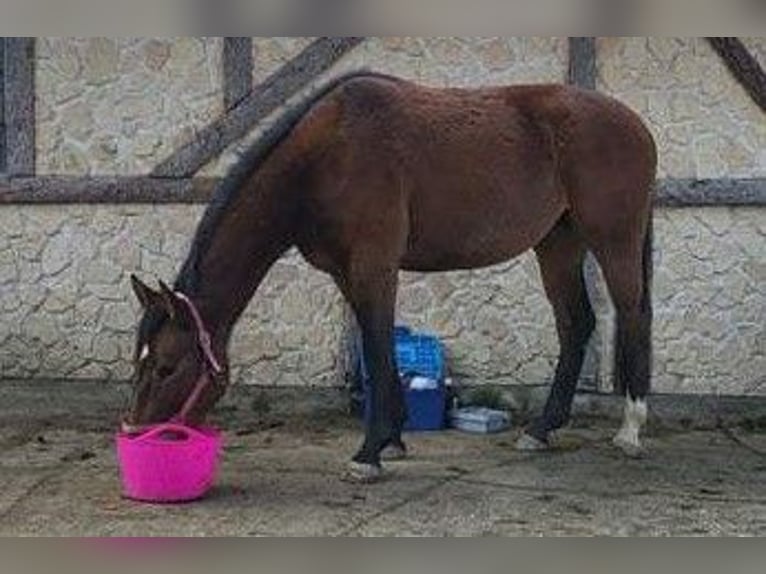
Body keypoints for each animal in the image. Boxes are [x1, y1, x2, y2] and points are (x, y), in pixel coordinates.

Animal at [124, 71, 656, 482]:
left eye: (167, 367)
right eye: (139, 361)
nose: (134, 431)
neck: (324, 158)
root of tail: (635, 123)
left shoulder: (373, 266)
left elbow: (379, 347)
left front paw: (369, 453)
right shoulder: (346, 273)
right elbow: (373, 346)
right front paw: (394, 438)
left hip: (613, 240)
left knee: (632, 315)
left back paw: (631, 430)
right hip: (558, 244)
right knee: (576, 324)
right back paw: (542, 430)